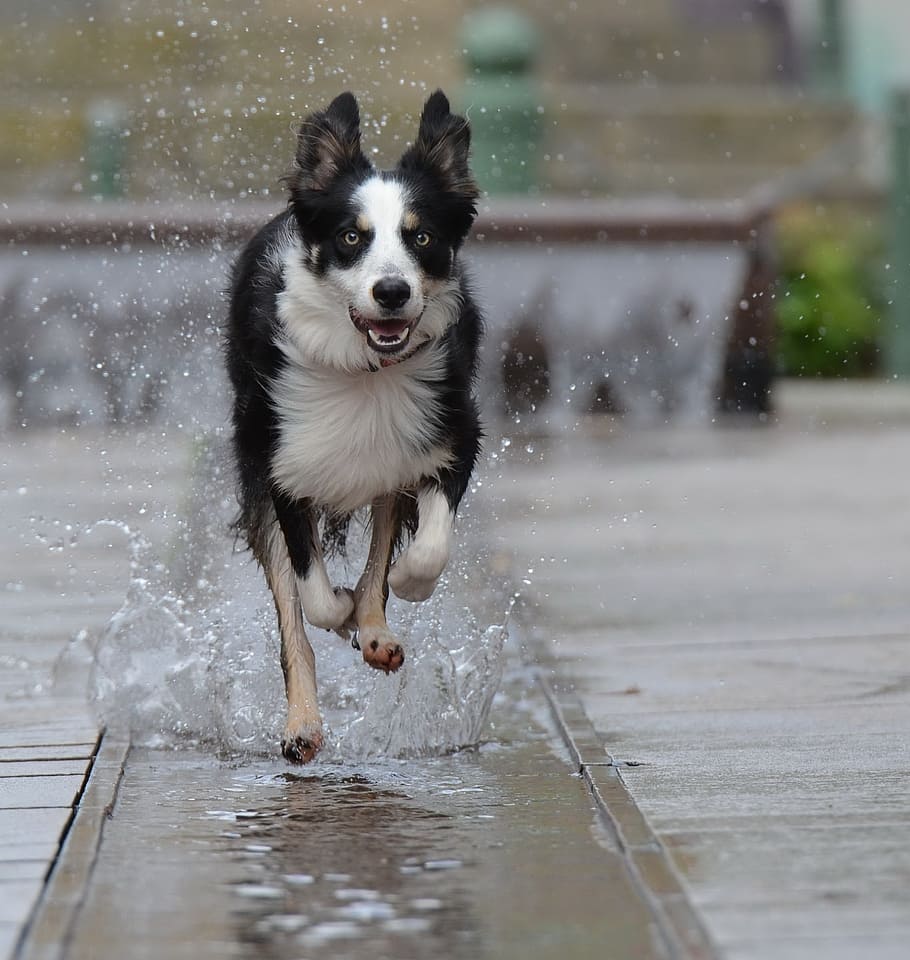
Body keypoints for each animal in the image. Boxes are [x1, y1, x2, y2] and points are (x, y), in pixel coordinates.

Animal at [225, 90, 484, 764]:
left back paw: (374, 632)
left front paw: (407, 587)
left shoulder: (452, 433)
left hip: (391, 466)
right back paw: (303, 726)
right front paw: (336, 609)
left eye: (421, 236)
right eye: (349, 237)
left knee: (379, 555)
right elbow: (311, 595)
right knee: (294, 616)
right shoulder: (281, 467)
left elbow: (427, 545)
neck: (365, 370)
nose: (391, 291)